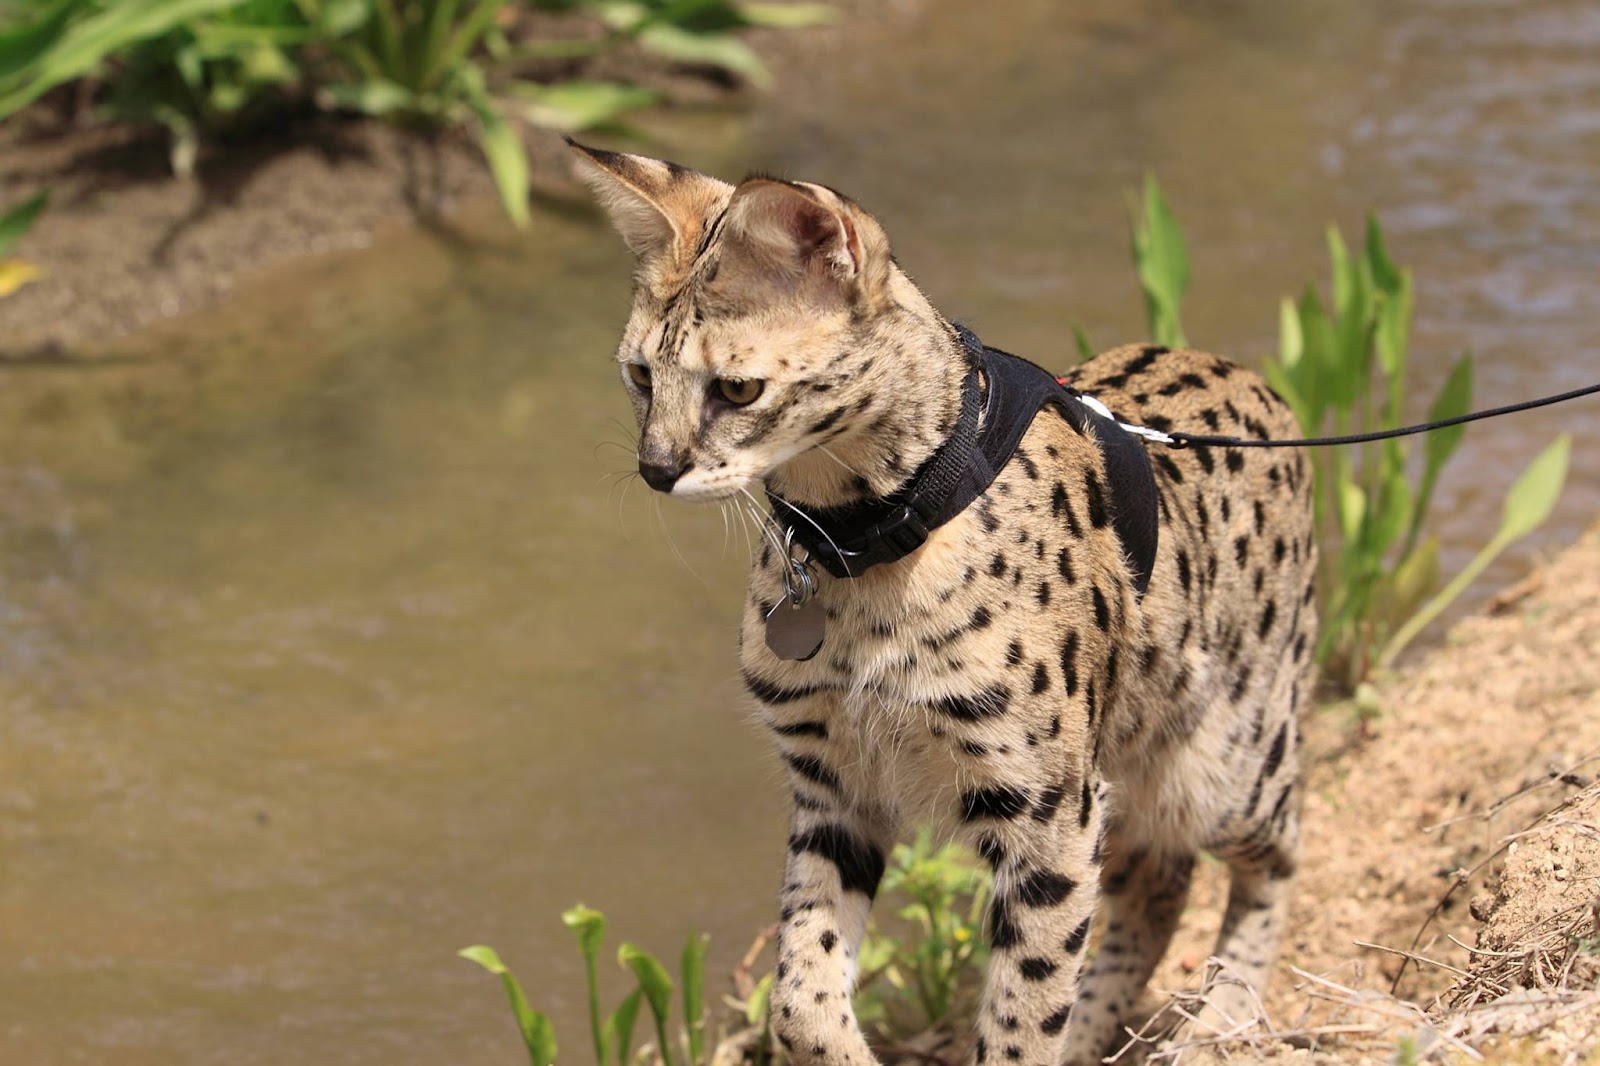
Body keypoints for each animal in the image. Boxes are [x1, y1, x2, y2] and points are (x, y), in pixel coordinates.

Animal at [569, 143, 1318, 1062]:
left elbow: (1022, 1013)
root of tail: (1251, 376)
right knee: (1159, 878)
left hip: (1228, 761)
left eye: (737, 390)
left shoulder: (1049, 809)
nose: (655, 469)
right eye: (641, 375)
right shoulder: (834, 786)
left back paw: (1224, 1016)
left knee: (1275, 853)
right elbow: (799, 994)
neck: (855, 546)